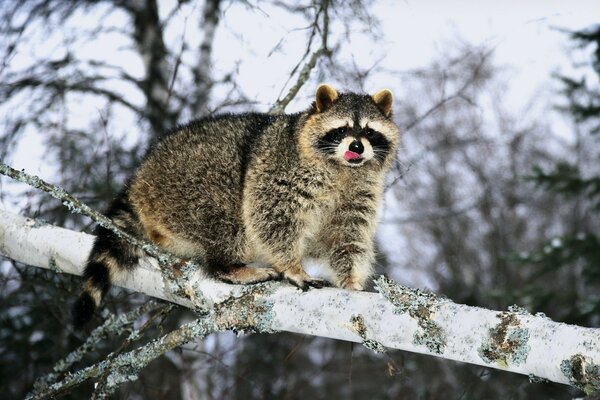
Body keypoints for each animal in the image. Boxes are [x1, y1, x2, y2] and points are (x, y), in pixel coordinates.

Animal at [72, 84, 400, 328]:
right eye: (342, 129)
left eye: (369, 132)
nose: (356, 147)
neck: (343, 170)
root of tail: (140, 177)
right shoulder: (279, 170)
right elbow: (271, 217)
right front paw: (292, 265)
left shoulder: (359, 193)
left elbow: (348, 236)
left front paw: (351, 279)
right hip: (185, 184)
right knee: (226, 219)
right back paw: (228, 266)